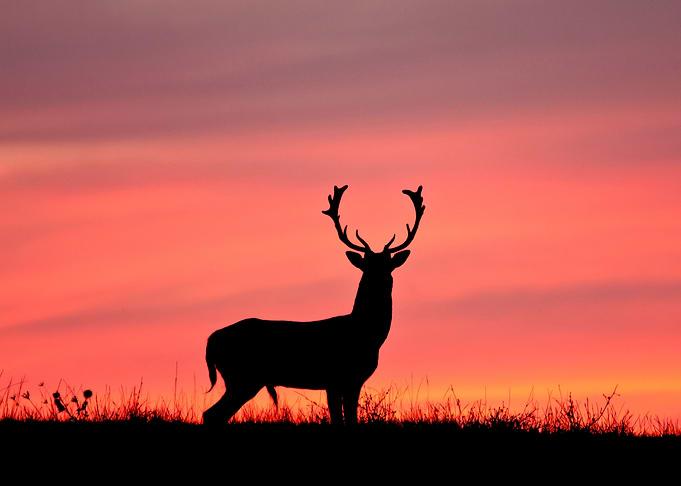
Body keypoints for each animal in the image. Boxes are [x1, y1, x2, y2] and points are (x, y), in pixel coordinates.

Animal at [202, 184, 425, 425]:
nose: (379, 280)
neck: (364, 334)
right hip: (243, 376)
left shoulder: (351, 380)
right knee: (211, 414)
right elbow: (341, 420)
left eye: (388, 266)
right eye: (366, 267)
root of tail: (211, 340)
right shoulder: (336, 377)